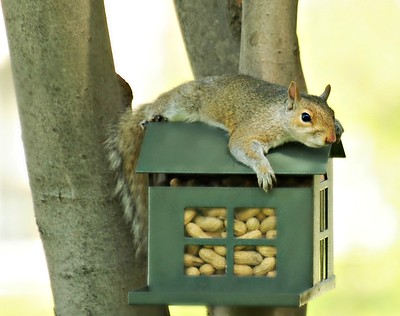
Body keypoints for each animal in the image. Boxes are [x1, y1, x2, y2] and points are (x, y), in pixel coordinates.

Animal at [105, 74, 344, 254]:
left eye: (332, 113)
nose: (331, 138)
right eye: (306, 117)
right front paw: (264, 170)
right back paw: (152, 117)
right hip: (181, 104)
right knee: (162, 106)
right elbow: (242, 147)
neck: (279, 115)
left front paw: (339, 127)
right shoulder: (251, 129)